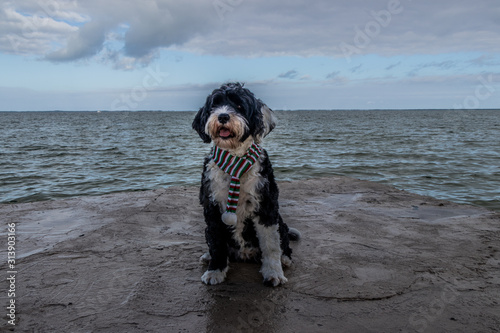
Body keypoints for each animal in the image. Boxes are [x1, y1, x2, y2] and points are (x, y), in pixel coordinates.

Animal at [192, 82, 300, 286]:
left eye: (240, 106)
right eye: (214, 105)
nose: (223, 116)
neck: (235, 161)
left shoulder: (266, 207)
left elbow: (271, 244)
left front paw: (273, 273)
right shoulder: (211, 207)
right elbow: (216, 243)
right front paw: (215, 270)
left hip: (280, 221)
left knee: (283, 243)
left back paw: (285, 259)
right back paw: (207, 256)